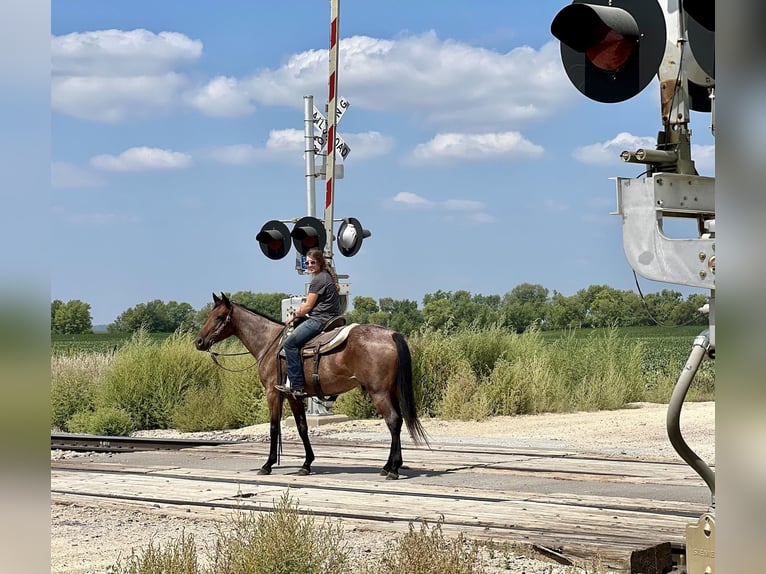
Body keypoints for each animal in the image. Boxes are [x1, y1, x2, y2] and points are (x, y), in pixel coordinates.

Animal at [195, 294, 428, 480]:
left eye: (218, 317)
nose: (199, 342)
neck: (270, 344)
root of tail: (391, 334)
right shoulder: (294, 396)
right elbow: (302, 428)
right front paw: (306, 465)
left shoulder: (273, 393)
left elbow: (274, 428)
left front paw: (267, 465)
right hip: (391, 391)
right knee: (398, 421)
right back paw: (389, 466)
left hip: (379, 392)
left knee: (393, 421)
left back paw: (393, 470)